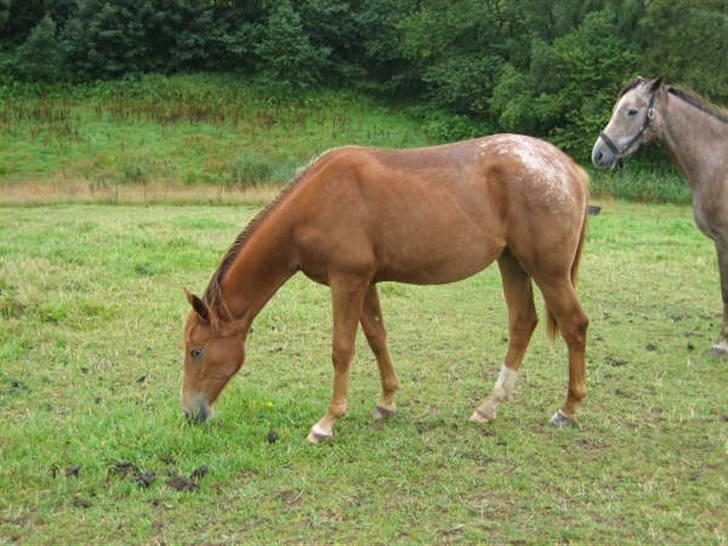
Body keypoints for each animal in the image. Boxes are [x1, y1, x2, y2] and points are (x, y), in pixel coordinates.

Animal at [182, 134, 592, 440]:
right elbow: (376, 336)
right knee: (522, 323)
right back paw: (489, 407)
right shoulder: (366, 282)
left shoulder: (347, 281)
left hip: (548, 271)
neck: (313, 203)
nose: (190, 413)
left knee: (575, 325)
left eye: (196, 351)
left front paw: (327, 422)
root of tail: (567, 168)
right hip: (512, 263)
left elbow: (342, 349)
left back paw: (568, 410)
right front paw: (387, 402)